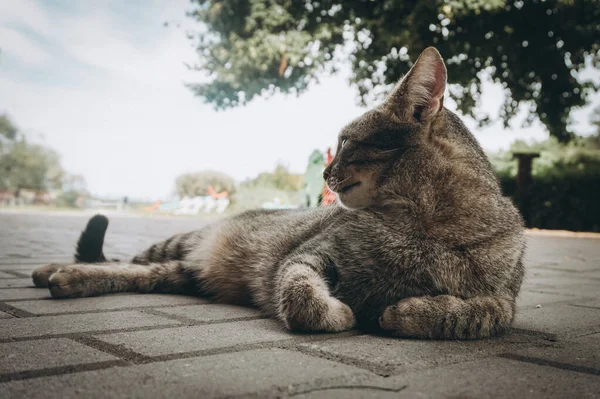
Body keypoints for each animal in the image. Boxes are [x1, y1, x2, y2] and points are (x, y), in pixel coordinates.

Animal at [31, 47, 524, 340]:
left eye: (346, 142)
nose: (324, 170)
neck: (425, 224)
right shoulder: (309, 257)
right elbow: (303, 298)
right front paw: (345, 314)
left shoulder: (503, 300)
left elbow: (470, 315)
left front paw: (403, 312)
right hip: (182, 242)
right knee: (124, 260)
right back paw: (52, 270)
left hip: (177, 273)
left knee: (136, 272)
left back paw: (65, 278)